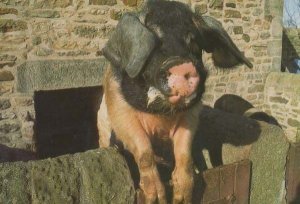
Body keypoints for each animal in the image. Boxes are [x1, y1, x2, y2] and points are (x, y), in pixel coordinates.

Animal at [97, 0, 252, 203]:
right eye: (155, 39)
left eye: (193, 41)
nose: (182, 65)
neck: (161, 115)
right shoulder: (120, 112)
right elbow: (144, 150)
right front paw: (157, 198)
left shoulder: (191, 117)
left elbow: (184, 152)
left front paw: (182, 197)